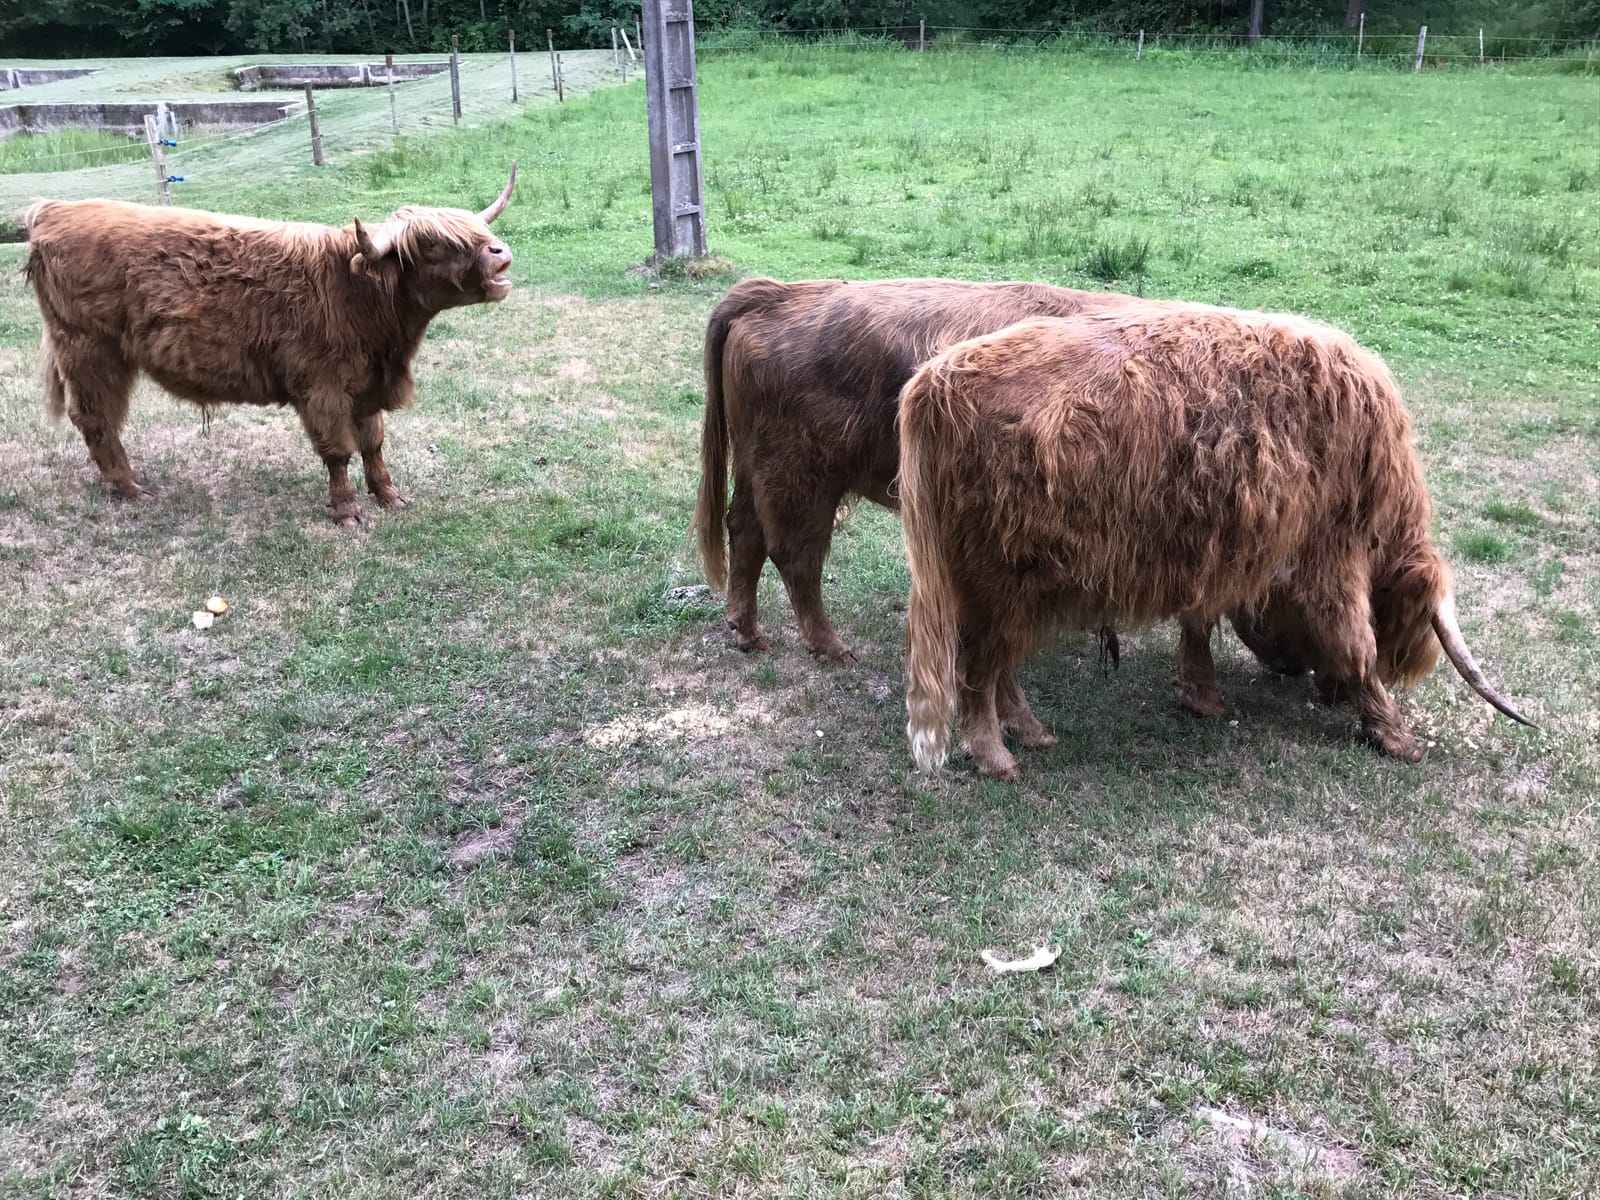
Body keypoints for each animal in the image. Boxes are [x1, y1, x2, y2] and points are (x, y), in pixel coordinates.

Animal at [24, 166, 516, 525]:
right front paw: (347, 511)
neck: (357, 295)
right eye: (433, 244)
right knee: (96, 419)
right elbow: (338, 451)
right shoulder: (320, 388)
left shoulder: (365, 385)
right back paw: (129, 488)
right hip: (89, 350)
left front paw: (388, 495)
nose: (500, 252)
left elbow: (373, 444)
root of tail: (52, 210)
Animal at [898, 304, 1533, 779]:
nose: (1303, 677)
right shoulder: (1330, 552)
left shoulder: (1218, 550)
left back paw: (1031, 732)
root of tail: (934, 380)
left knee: (998, 664)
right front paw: (1394, 734)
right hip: (1003, 576)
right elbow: (1356, 644)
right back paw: (995, 754)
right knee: (980, 667)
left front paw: (1201, 694)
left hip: (1007, 585)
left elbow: (1199, 621)